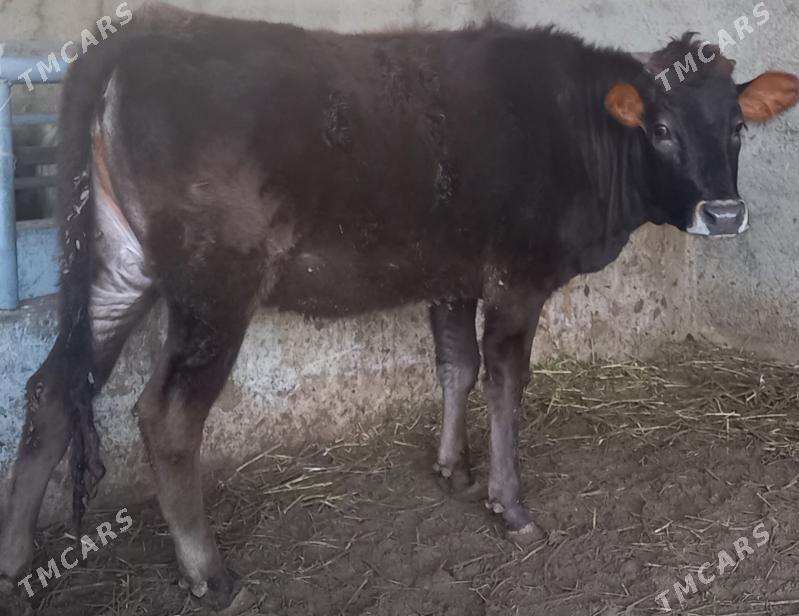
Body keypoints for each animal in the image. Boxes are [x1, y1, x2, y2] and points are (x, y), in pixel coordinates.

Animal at [1, 3, 797, 611]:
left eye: (737, 127)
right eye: (660, 129)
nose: (725, 214)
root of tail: (141, 30)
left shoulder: (451, 273)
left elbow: (456, 366)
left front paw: (452, 469)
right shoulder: (517, 278)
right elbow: (505, 381)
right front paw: (509, 506)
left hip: (117, 267)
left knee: (49, 392)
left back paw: (14, 559)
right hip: (213, 285)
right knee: (165, 415)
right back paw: (210, 574)